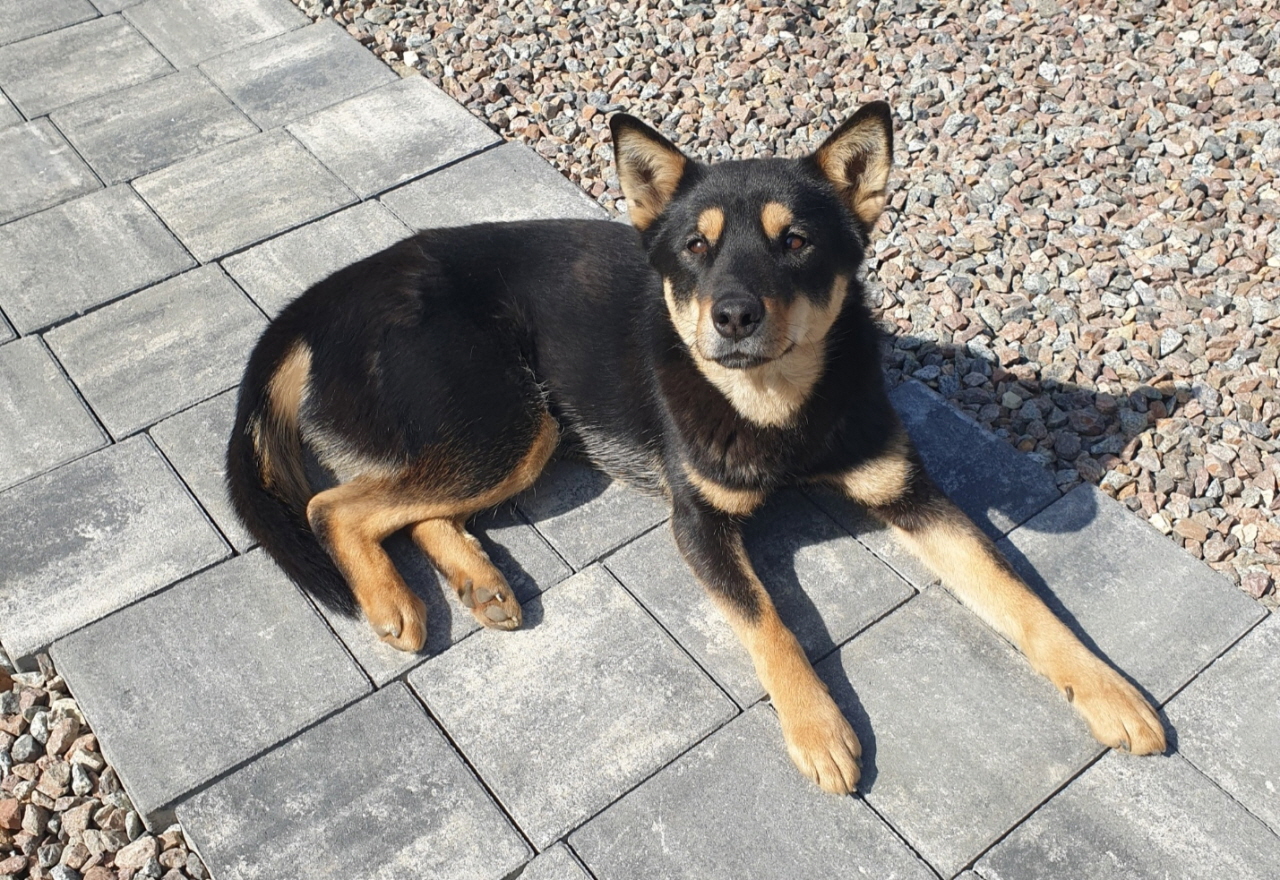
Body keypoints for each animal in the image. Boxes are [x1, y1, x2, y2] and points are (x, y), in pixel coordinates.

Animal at [227, 103, 1166, 794]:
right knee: (336, 503)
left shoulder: (908, 492)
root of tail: (324, 295)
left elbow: (1021, 596)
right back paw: (393, 600)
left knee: (399, 502)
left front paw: (1108, 688)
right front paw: (819, 728)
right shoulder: (700, 524)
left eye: (797, 241)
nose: (734, 315)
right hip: (510, 421)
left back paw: (478, 580)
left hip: (503, 433)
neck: (777, 407)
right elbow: (770, 622)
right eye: (695, 247)